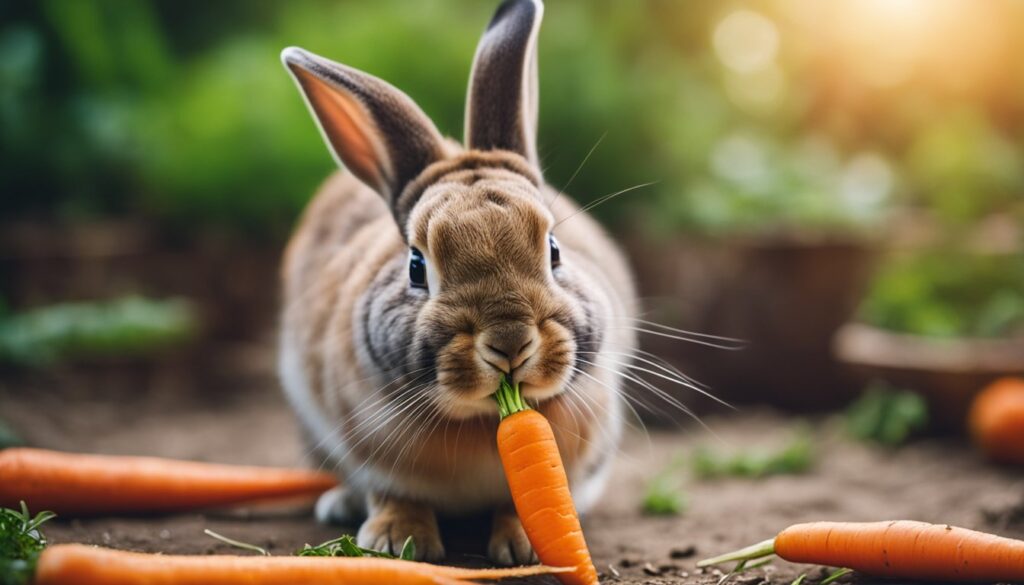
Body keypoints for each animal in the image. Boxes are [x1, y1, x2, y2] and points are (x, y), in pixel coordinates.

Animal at [278, 0, 637, 565]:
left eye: (554, 250)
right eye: (416, 267)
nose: (510, 343)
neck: (483, 422)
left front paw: (522, 546)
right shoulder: (367, 445)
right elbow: (394, 492)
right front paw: (397, 542)